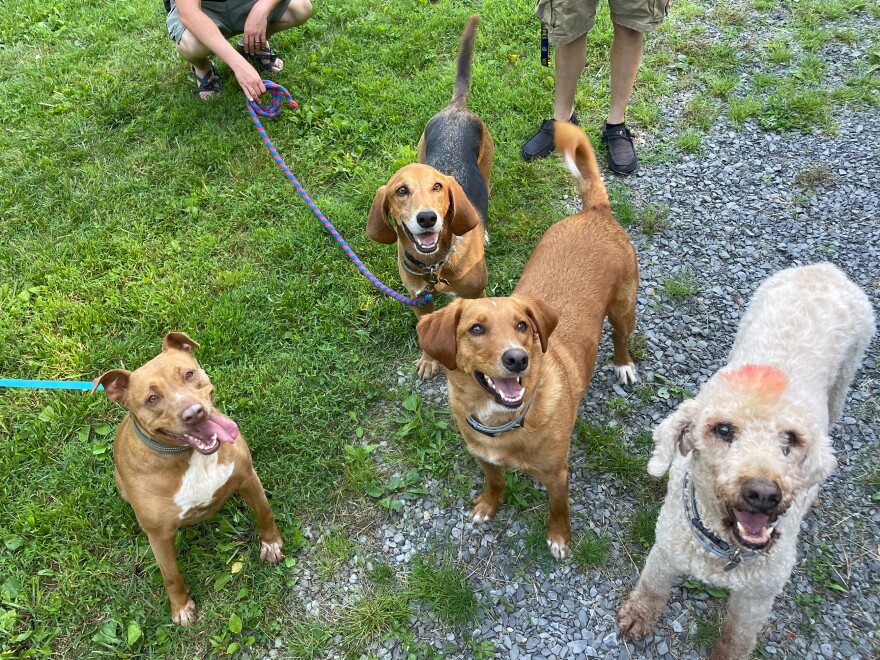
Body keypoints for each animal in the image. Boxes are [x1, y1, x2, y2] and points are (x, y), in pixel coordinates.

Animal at [92, 332, 282, 628]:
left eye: (188, 374)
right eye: (152, 398)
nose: (194, 413)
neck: (191, 455)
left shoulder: (248, 478)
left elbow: (264, 512)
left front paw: (271, 545)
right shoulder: (158, 536)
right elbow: (171, 575)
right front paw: (181, 608)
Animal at [366, 15, 496, 378]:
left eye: (438, 187)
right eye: (401, 191)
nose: (427, 218)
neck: (435, 265)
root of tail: (456, 108)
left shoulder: (476, 295)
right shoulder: (419, 301)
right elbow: (425, 331)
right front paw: (429, 360)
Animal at [420, 122, 640, 556]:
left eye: (522, 325)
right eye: (476, 329)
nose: (517, 359)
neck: (502, 421)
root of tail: (594, 212)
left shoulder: (557, 474)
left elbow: (559, 509)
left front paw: (559, 538)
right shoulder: (484, 458)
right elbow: (495, 482)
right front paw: (489, 506)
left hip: (624, 307)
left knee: (622, 338)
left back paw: (624, 365)